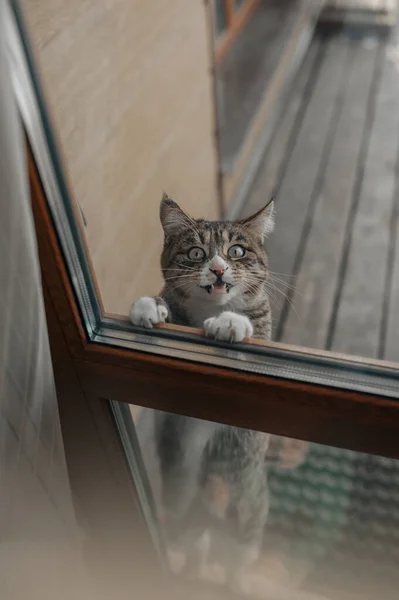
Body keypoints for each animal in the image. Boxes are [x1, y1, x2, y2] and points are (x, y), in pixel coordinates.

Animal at [131, 195, 278, 592]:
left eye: (237, 250)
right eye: (196, 252)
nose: (217, 268)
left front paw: (230, 322)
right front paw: (148, 305)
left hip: (247, 520)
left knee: (235, 562)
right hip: (181, 513)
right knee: (195, 547)